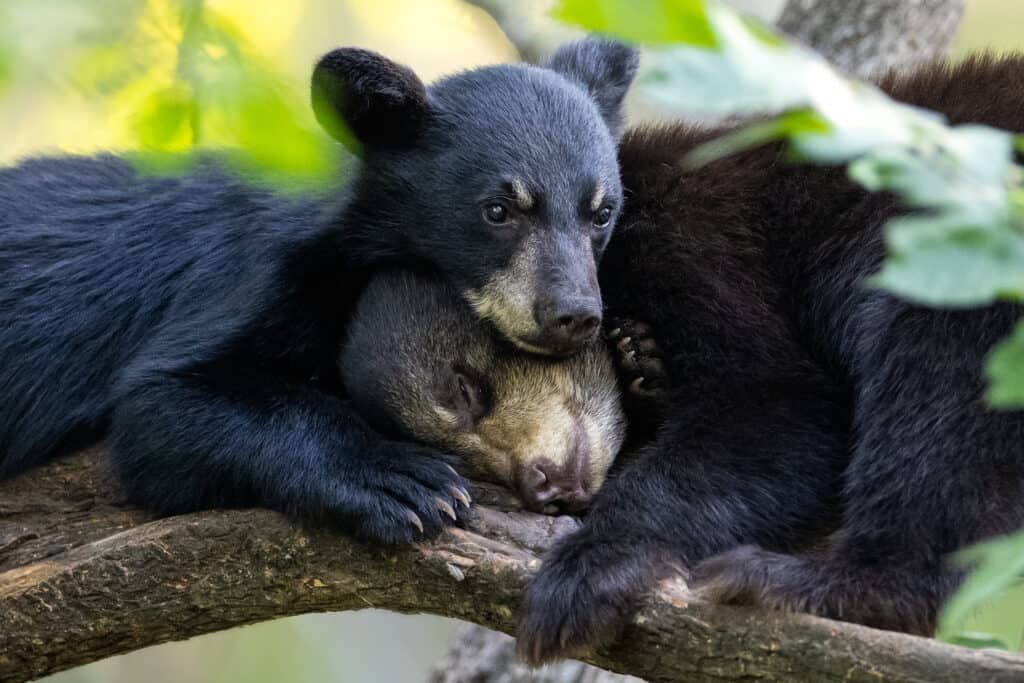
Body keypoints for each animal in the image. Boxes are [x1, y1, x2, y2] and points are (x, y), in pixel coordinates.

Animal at [517, 54, 1024, 663]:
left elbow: (781, 408)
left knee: (942, 400)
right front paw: (642, 367)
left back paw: (824, 585)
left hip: (970, 255)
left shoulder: (684, 241)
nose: (543, 481)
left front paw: (594, 563)